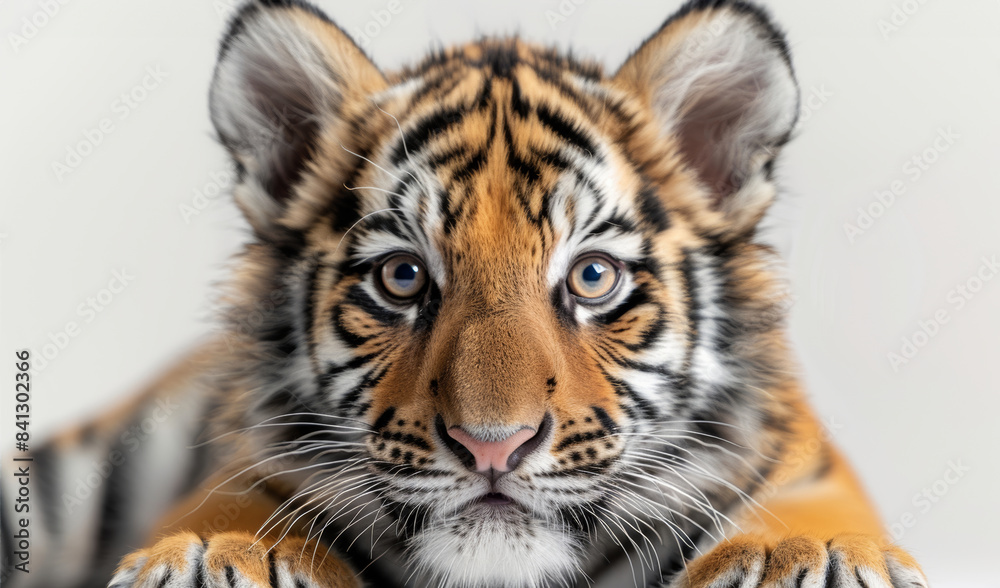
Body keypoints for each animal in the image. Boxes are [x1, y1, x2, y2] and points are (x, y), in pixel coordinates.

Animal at [0, 0, 930, 586]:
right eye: (403, 276)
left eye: (592, 277)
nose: (493, 447)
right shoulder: (250, 457)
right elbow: (236, 502)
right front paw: (215, 555)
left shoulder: (799, 458)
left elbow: (807, 513)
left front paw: (809, 559)